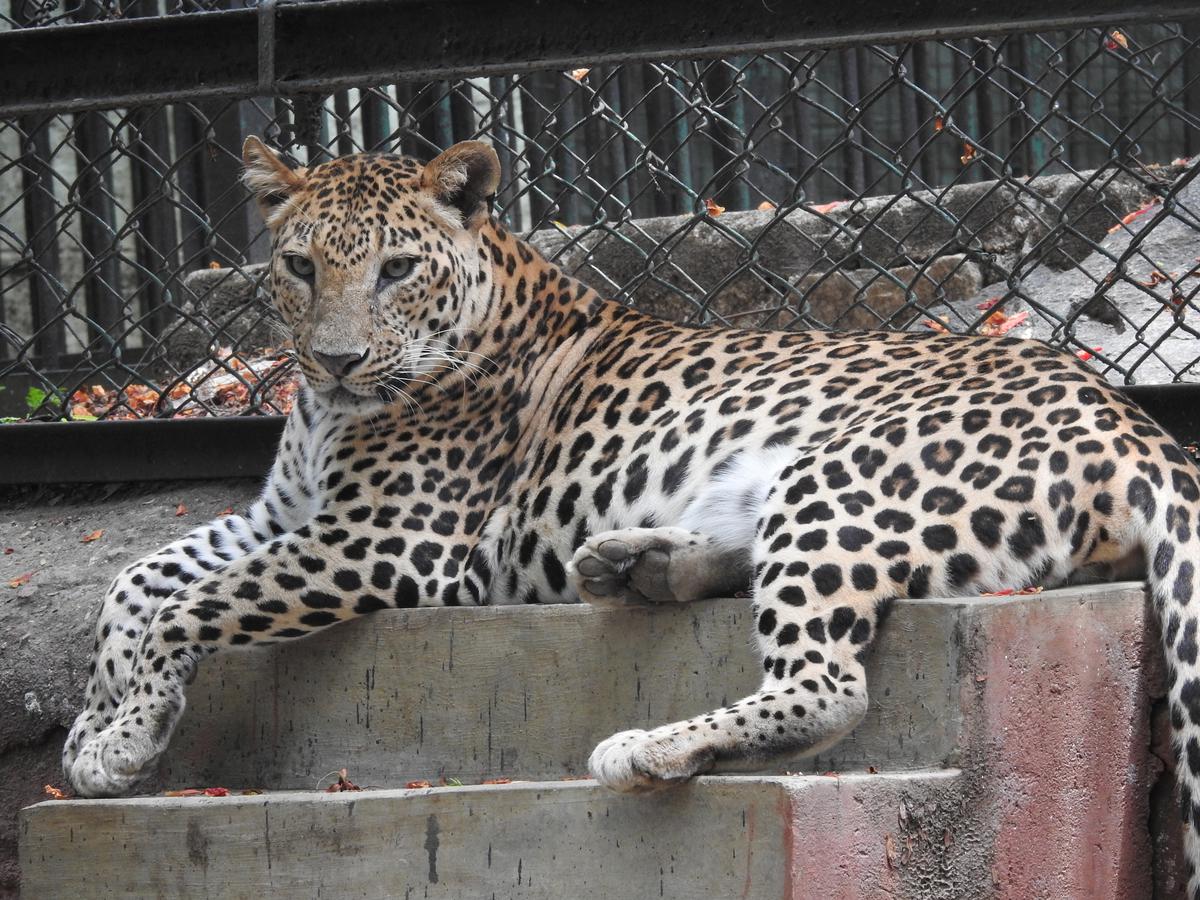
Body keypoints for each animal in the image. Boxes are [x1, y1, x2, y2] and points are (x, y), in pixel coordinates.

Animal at [63, 139, 1200, 897]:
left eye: (396, 269)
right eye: (301, 266)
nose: (336, 358)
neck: (327, 408)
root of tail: (1134, 418)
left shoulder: (385, 543)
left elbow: (190, 606)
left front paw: (123, 741)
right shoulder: (283, 516)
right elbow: (136, 584)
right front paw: (96, 728)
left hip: (840, 477)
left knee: (827, 687)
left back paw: (649, 747)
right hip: (789, 488)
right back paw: (635, 564)